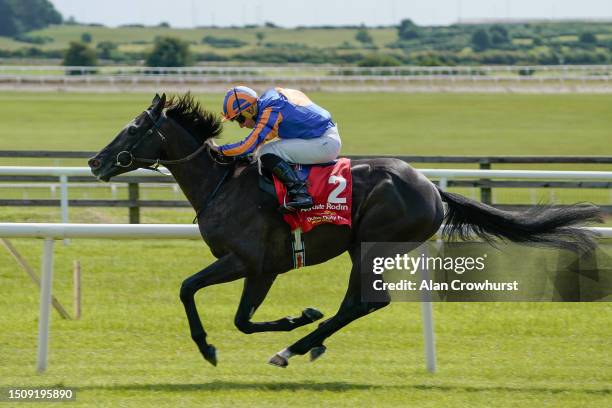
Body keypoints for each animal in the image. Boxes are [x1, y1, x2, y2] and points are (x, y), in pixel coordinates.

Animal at [88, 94, 600, 368]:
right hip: (362, 249)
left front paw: (219, 343)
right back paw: (307, 344)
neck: (222, 185)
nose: (95, 161)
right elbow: (224, 309)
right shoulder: (261, 268)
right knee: (360, 303)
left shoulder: (250, 261)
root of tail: (432, 188)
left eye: (132, 129)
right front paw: (287, 322)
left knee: (363, 302)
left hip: (373, 244)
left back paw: (294, 347)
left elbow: (204, 298)